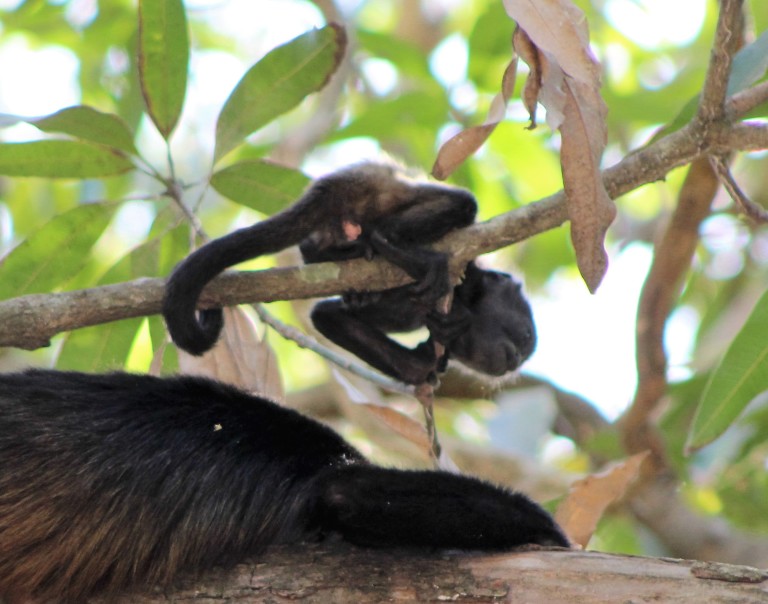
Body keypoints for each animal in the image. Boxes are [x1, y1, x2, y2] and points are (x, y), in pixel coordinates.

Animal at [163, 162, 536, 384]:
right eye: (525, 338)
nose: (515, 362)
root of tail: (331, 184)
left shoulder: (409, 316)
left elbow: (329, 316)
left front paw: (428, 357)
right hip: (375, 190)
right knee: (461, 204)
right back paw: (394, 246)